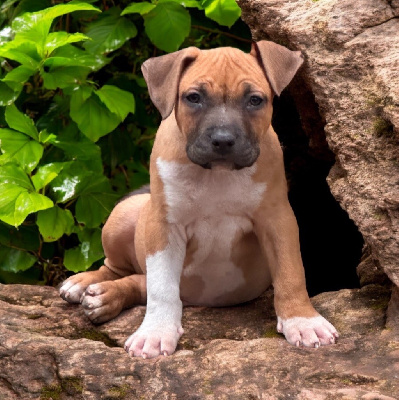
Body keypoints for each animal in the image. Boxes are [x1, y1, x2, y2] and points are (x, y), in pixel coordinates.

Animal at [60, 42, 340, 358]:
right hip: (125, 213)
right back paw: (88, 283)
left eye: (255, 100)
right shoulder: (163, 225)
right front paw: (156, 332)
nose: (223, 140)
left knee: (140, 282)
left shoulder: (277, 219)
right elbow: (161, 288)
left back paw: (107, 296)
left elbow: (291, 272)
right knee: (121, 269)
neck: (216, 175)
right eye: (193, 98)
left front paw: (302, 321)